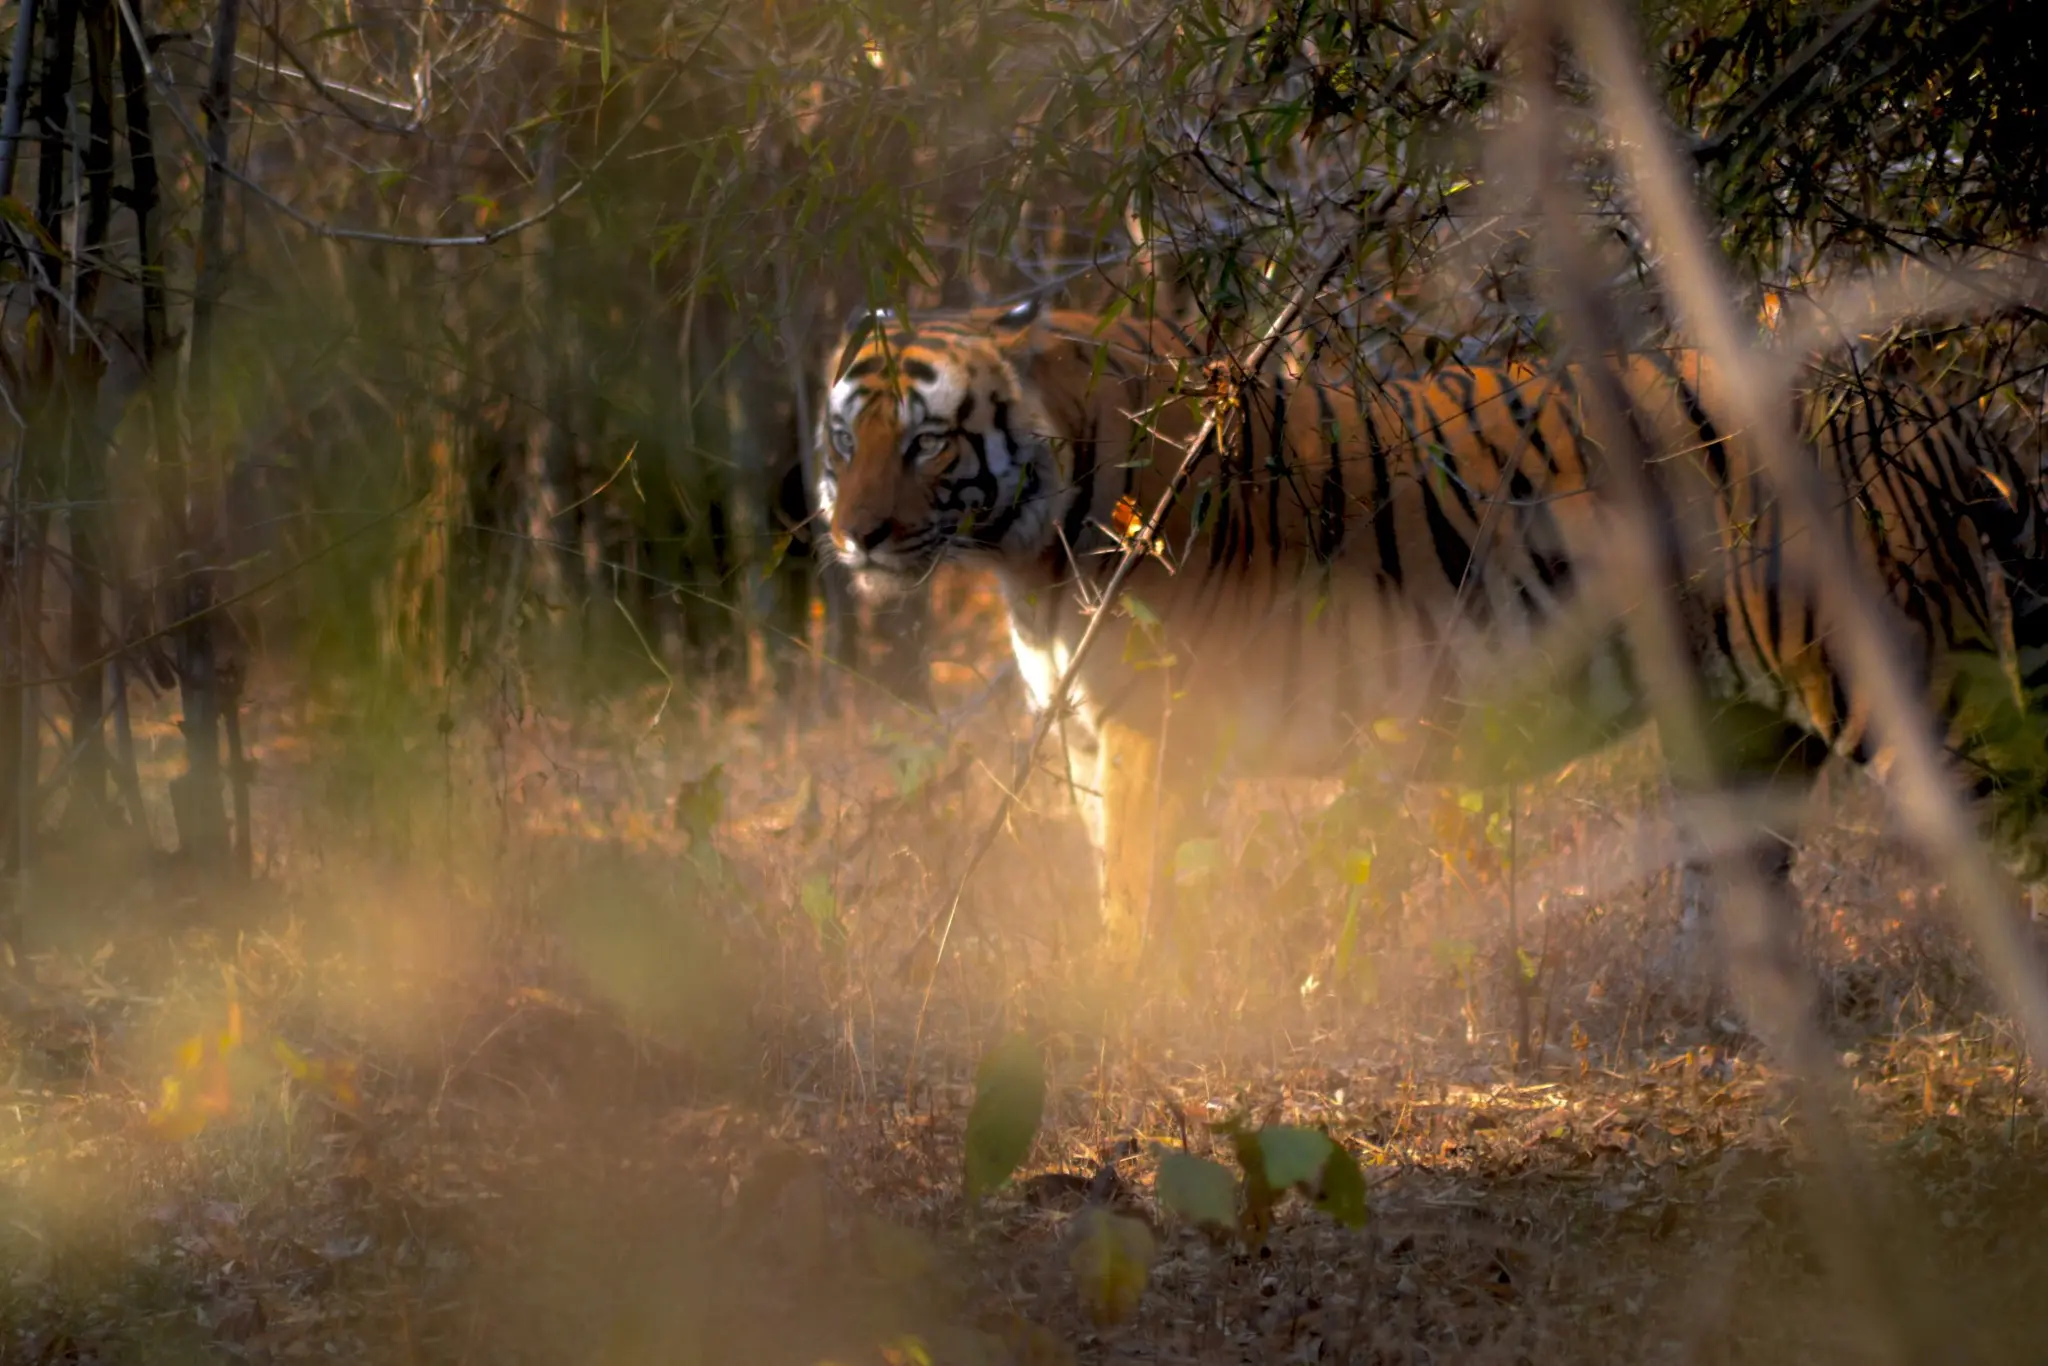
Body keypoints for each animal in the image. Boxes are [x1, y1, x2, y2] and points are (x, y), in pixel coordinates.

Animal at [806, 294, 2048, 970]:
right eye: (841, 438)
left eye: (923, 440)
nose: (853, 534)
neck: (1019, 551)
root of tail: (1942, 411)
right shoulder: (1078, 734)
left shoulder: (1151, 729)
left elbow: (1133, 890)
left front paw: (1121, 1016)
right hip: (1737, 730)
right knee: (1733, 885)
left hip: (1913, 685)